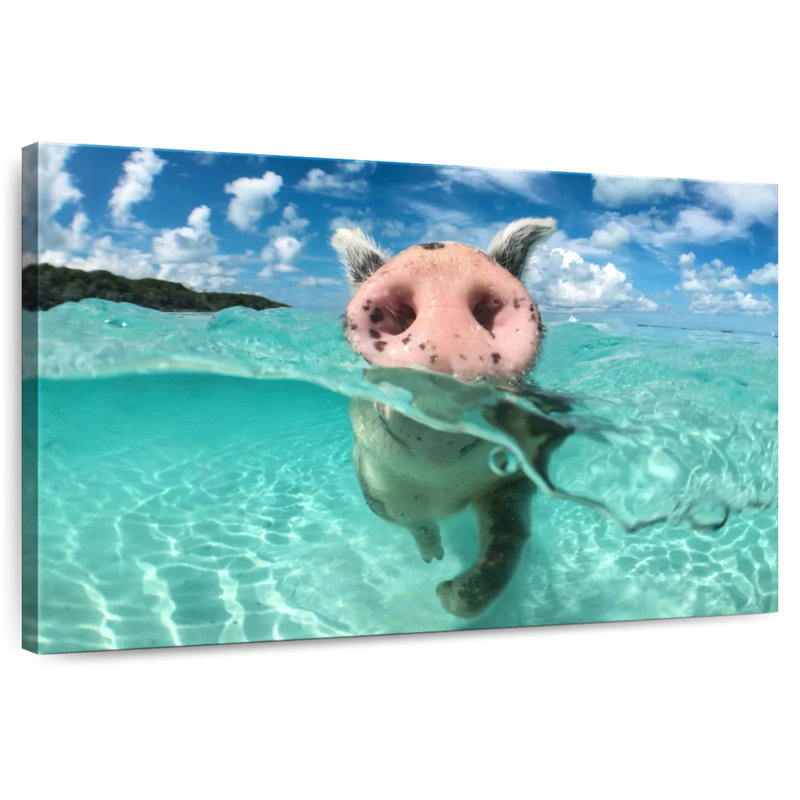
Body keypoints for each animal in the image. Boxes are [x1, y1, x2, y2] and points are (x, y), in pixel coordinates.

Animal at [333, 218, 570, 618]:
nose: (441, 262)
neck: (444, 487)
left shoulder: (514, 476)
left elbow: (507, 540)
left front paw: (444, 592)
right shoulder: (374, 483)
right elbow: (414, 523)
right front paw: (434, 562)